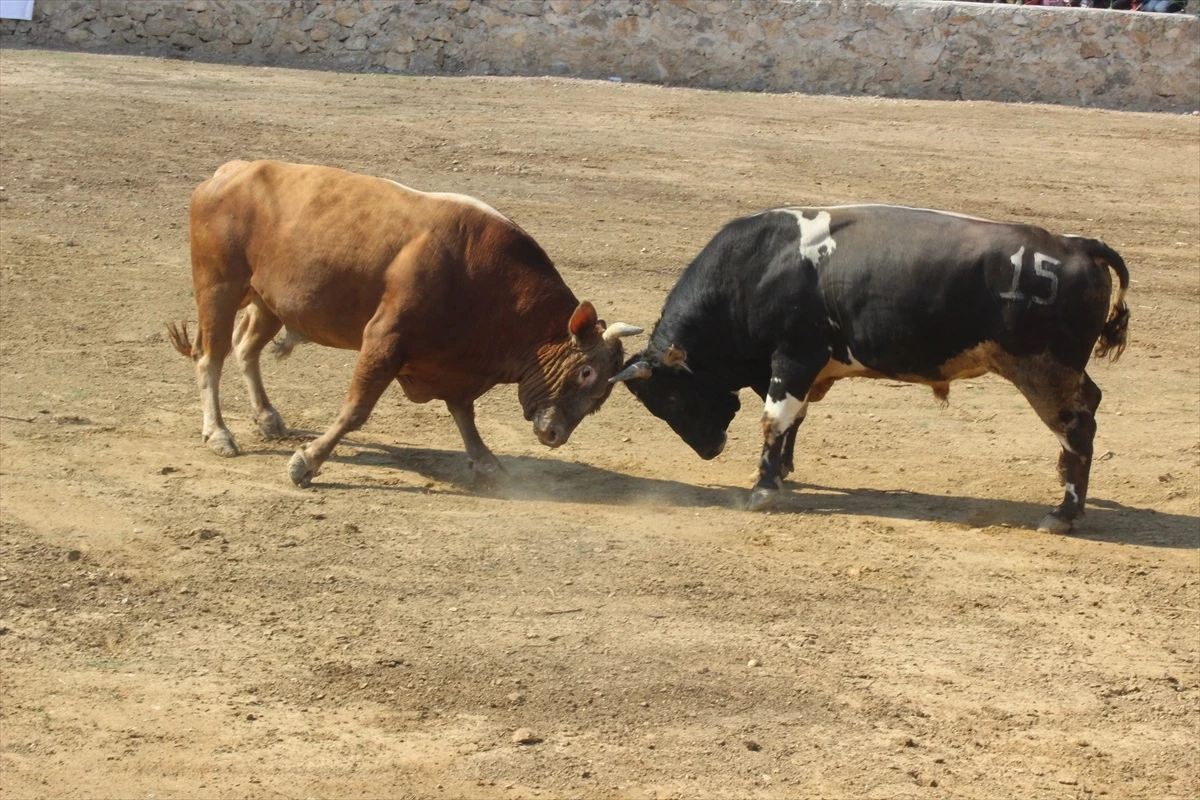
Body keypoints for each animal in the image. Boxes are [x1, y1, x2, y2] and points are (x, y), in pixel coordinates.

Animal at [169, 159, 643, 484]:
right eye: (585, 372)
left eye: (602, 396)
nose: (555, 434)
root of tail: (229, 172)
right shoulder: (385, 338)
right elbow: (356, 409)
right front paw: (307, 462)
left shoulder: (454, 363)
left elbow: (463, 412)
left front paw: (485, 459)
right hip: (218, 286)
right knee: (210, 357)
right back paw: (219, 434)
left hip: (268, 302)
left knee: (246, 348)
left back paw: (267, 418)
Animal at [614, 206, 1128, 532]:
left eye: (671, 397)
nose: (710, 450)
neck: (756, 269)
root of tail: (1077, 246)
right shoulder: (801, 370)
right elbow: (794, 419)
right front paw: (783, 471)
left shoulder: (793, 357)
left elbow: (774, 419)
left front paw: (762, 489)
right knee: (1089, 406)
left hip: (1045, 372)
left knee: (1076, 425)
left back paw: (1064, 514)